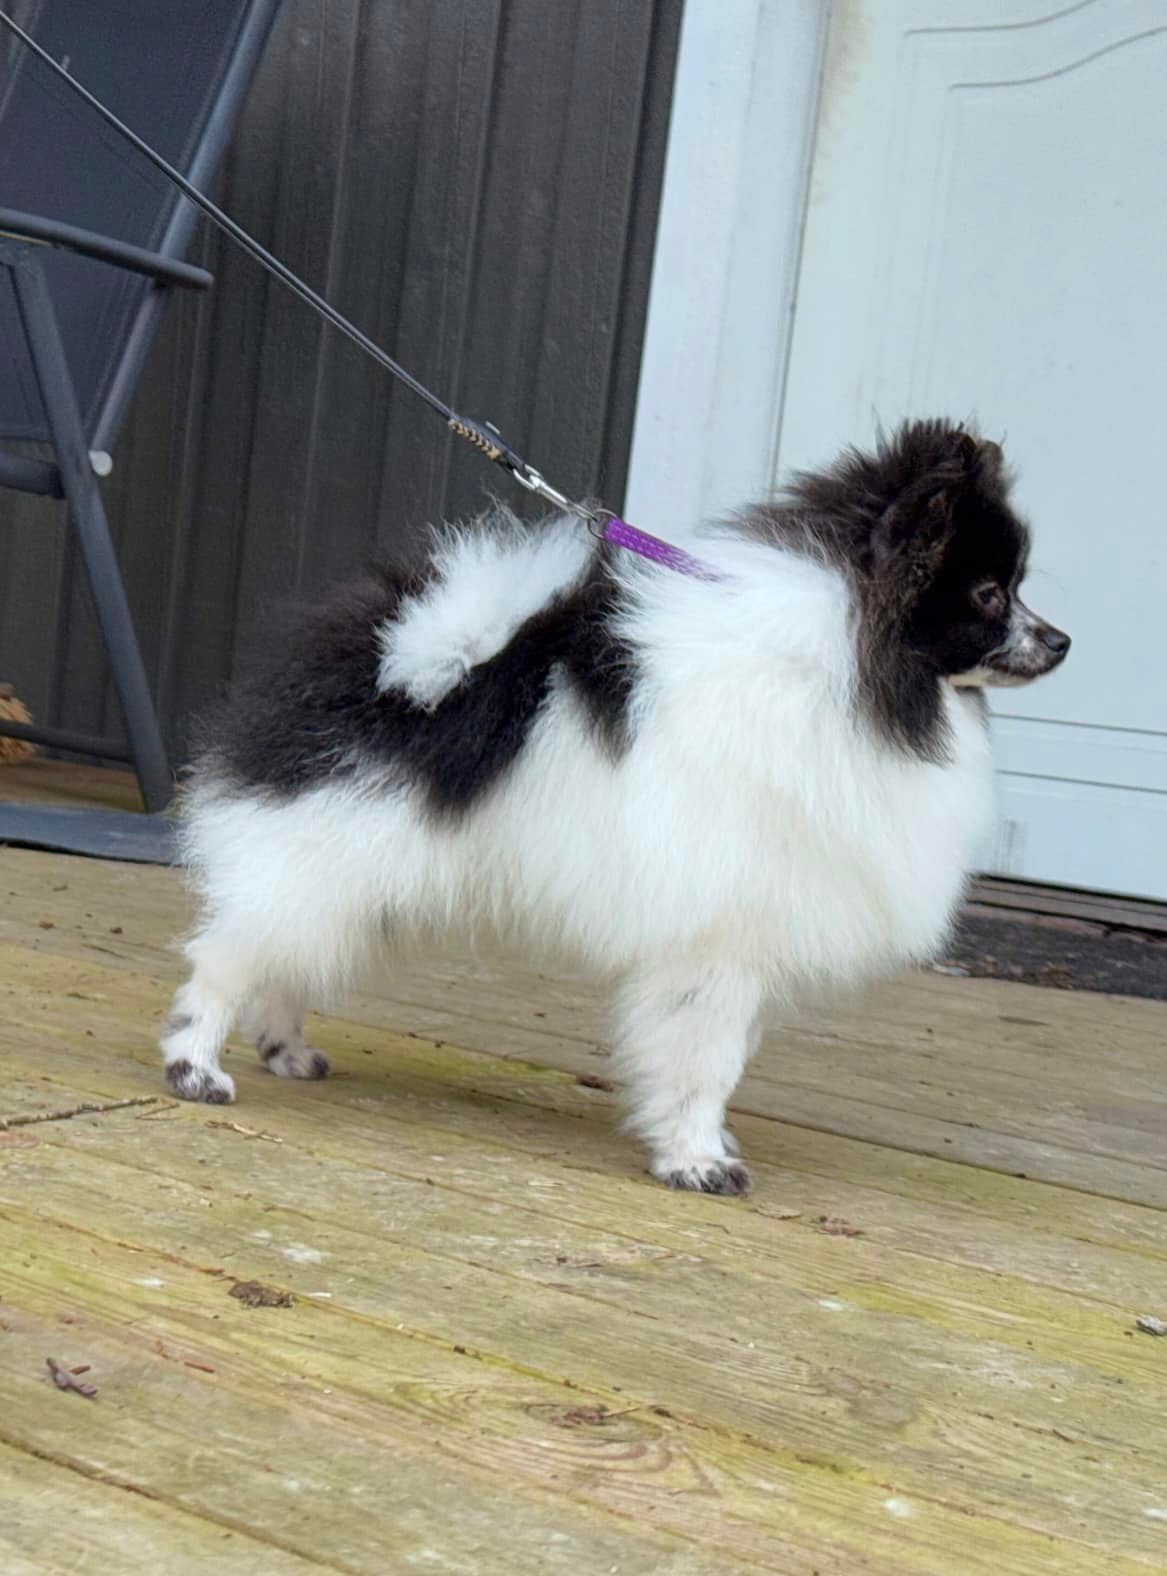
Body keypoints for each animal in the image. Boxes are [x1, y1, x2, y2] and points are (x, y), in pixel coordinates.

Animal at [161, 419, 1069, 1195]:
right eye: (988, 595)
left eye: (1017, 587)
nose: (1061, 641)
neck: (847, 672)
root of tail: (397, 649)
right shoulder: (719, 941)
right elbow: (706, 1058)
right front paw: (697, 1159)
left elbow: (717, 1057)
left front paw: (700, 1139)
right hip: (333, 847)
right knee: (228, 957)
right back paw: (196, 1067)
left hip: (362, 870)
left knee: (288, 953)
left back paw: (287, 1049)